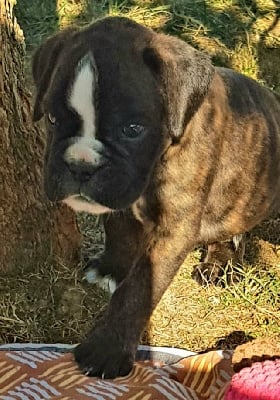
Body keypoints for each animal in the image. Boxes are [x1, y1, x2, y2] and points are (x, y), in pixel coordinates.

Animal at [32, 16, 280, 378]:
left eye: (132, 129)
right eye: (51, 119)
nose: (80, 165)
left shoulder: (174, 229)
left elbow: (138, 290)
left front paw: (106, 350)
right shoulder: (120, 199)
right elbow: (118, 233)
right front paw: (111, 269)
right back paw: (217, 263)